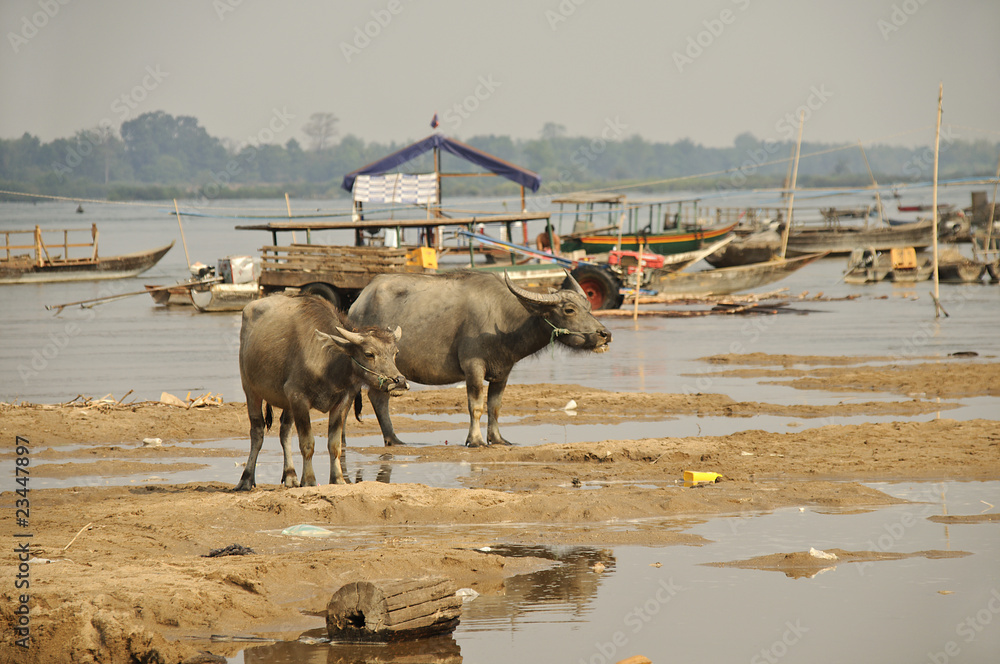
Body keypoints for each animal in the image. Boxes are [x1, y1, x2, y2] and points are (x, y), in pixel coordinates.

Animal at [234, 294, 406, 490]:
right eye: (369, 354)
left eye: (395, 353)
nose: (399, 382)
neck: (328, 363)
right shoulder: (299, 398)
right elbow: (307, 443)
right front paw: (308, 480)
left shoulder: (342, 401)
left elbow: (335, 444)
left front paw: (338, 478)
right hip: (251, 390)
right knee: (257, 432)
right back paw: (246, 479)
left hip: (287, 403)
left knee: (285, 432)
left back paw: (290, 475)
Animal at [352, 270, 608, 446]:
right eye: (569, 310)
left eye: (588, 307)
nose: (605, 334)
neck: (503, 320)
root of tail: (359, 302)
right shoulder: (473, 368)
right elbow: (475, 405)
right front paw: (475, 440)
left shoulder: (503, 371)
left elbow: (495, 406)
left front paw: (497, 439)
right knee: (378, 399)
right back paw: (393, 438)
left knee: (378, 398)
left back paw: (393, 439)